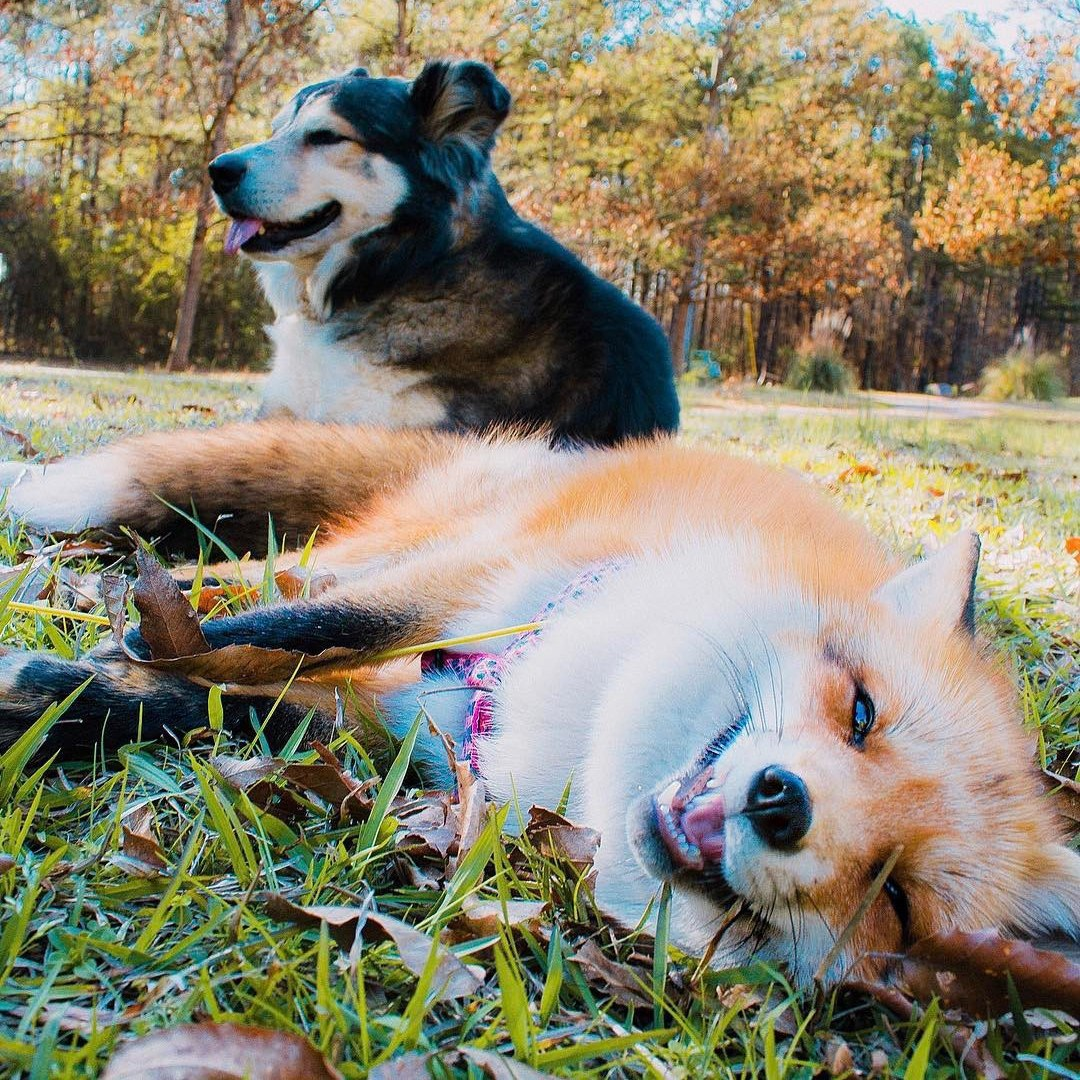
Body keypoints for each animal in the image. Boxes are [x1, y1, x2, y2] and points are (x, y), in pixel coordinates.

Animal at [0, 423, 1075, 989]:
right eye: (860, 712)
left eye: (892, 897)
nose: (783, 802)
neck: (569, 728)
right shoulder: (492, 582)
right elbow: (310, 627)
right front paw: (110, 662)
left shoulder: (401, 725)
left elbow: (223, 714)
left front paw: (76, 695)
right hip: (429, 535)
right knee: (278, 575)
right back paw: (115, 592)